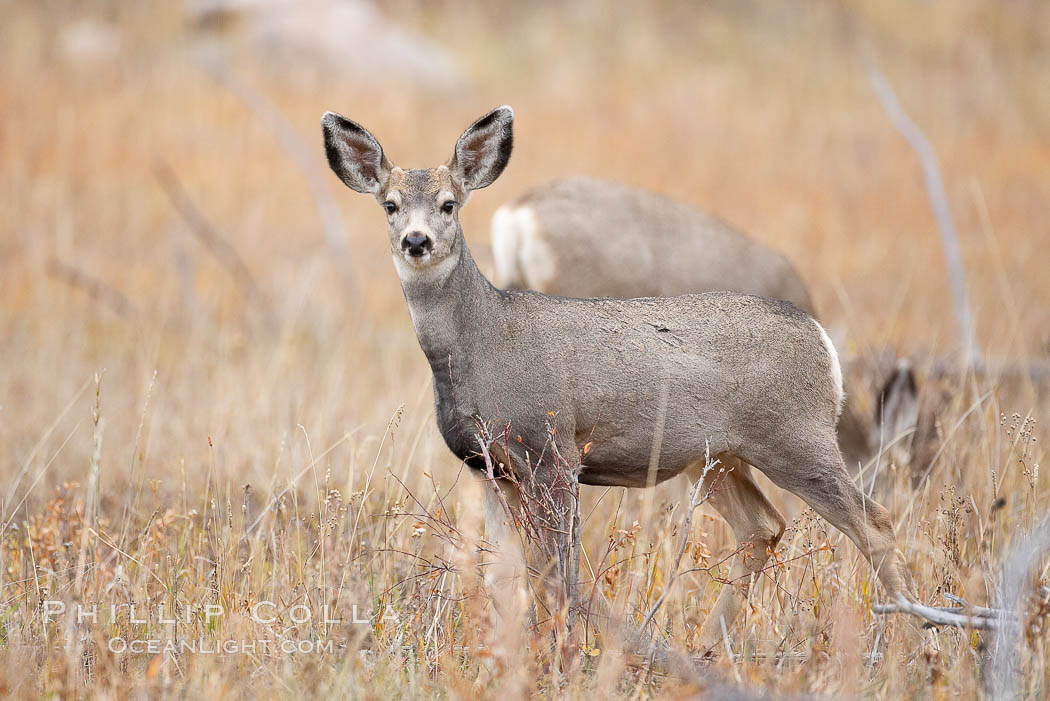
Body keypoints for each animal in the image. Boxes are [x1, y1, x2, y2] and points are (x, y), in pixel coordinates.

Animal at [323, 103, 915, 650]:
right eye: (390, 205)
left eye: (449, 203)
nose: (416, 241)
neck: (483, 342)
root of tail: (821, 339)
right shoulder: (489, 469)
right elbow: (505, 580)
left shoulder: (554, 451)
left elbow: (560, 576)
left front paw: (562, 654)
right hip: (717, 456)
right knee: (763, 528)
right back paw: (707, 648)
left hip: (795, 437)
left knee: (875, 524)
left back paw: (908, 639)